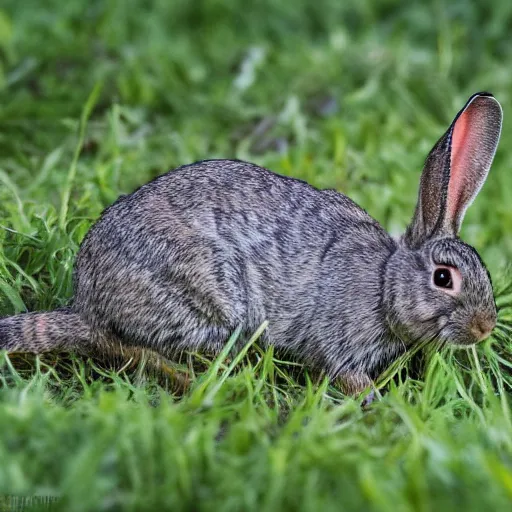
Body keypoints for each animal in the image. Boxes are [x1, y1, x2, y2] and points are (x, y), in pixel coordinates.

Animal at [0, 94, 502, 394]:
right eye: (444, 278)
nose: (485, 328)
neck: (385, 284)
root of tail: (88, 303)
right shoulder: (339, 338)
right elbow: (341, 370)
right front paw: (374, 400)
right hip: (200, 299)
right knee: (126, 349)